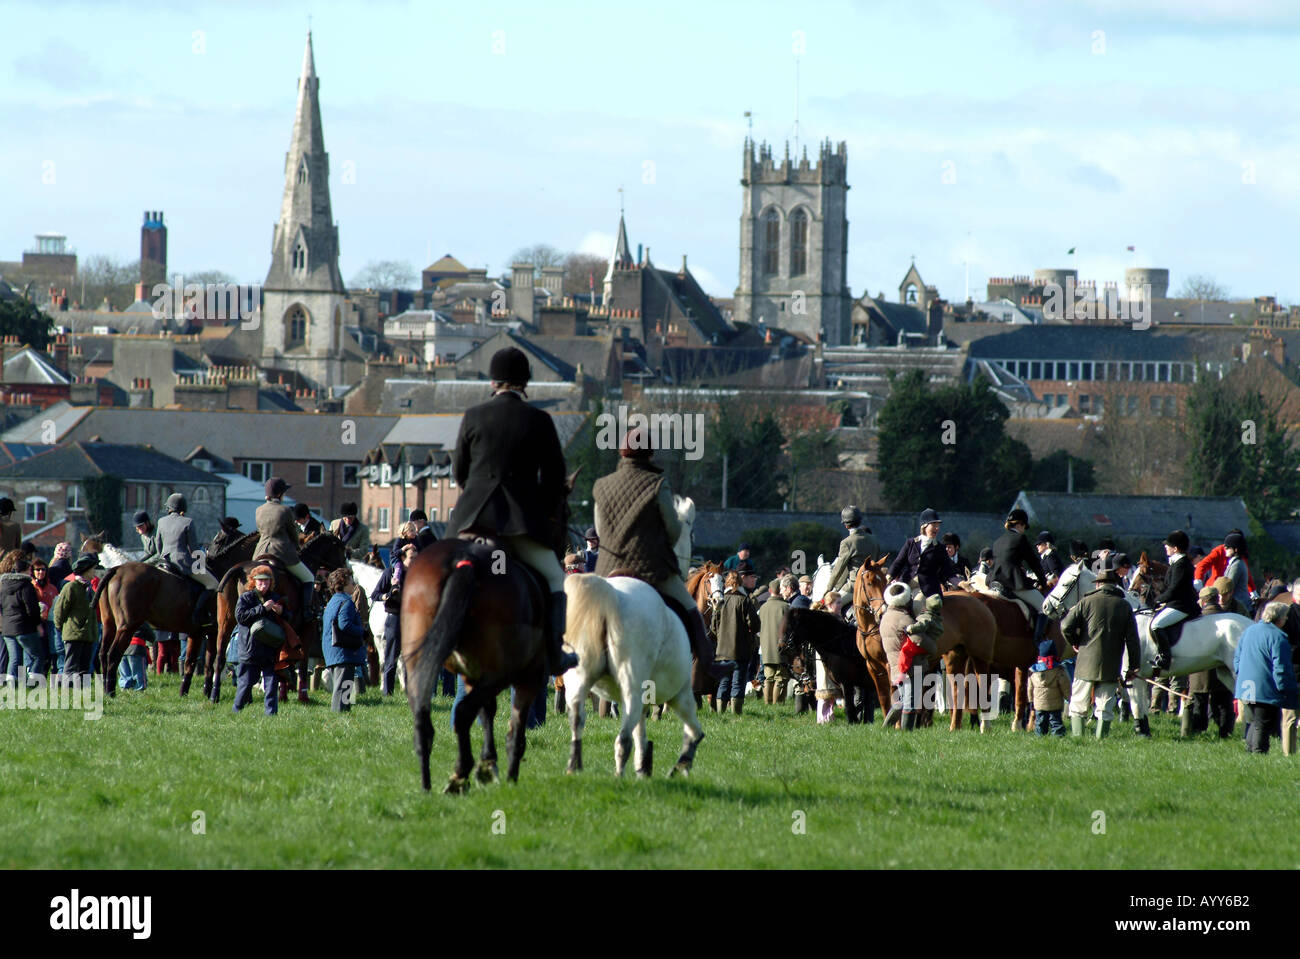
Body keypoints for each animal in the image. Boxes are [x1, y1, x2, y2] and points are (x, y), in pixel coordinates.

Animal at [559, 571, 702, 774]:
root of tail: (608, 594)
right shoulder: (681, 695)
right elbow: (694, 732)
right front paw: (681, 764)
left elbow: (641, 738)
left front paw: (644, 769)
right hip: (632, 688)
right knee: (623, 740)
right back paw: (619, 776)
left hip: (578, 682)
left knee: (577, 721)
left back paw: (574, 768)